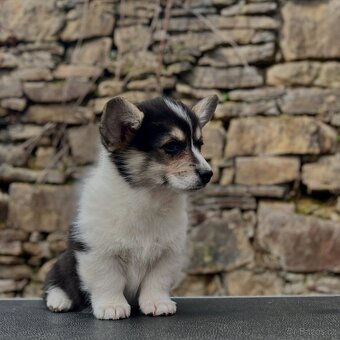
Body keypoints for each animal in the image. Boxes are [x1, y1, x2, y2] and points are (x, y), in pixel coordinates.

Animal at [43, 95, 218, 318]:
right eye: (172, 147)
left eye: (199, 145)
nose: (208, 174)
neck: (149, 197)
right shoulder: (98, 252)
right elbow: (108, 281)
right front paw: (112, 306)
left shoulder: (167, 255)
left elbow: (156, 282)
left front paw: (157, 304)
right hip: (62, 263)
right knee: (56, 282)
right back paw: (59, 301)